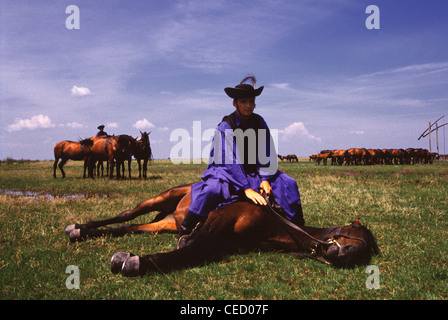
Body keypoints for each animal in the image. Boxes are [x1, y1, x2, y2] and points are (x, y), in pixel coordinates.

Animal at [66, 184, 380, 276]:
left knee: (130, 225)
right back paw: (80, 228)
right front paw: (132, 262)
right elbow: (189, 252)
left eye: (365, 249)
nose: (343, 255)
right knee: (126, 214)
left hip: (164, 223)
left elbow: (191, 250)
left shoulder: (222, 241)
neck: (272, 222)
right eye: (355, 233)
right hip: (159, 199)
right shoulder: (217, 224)